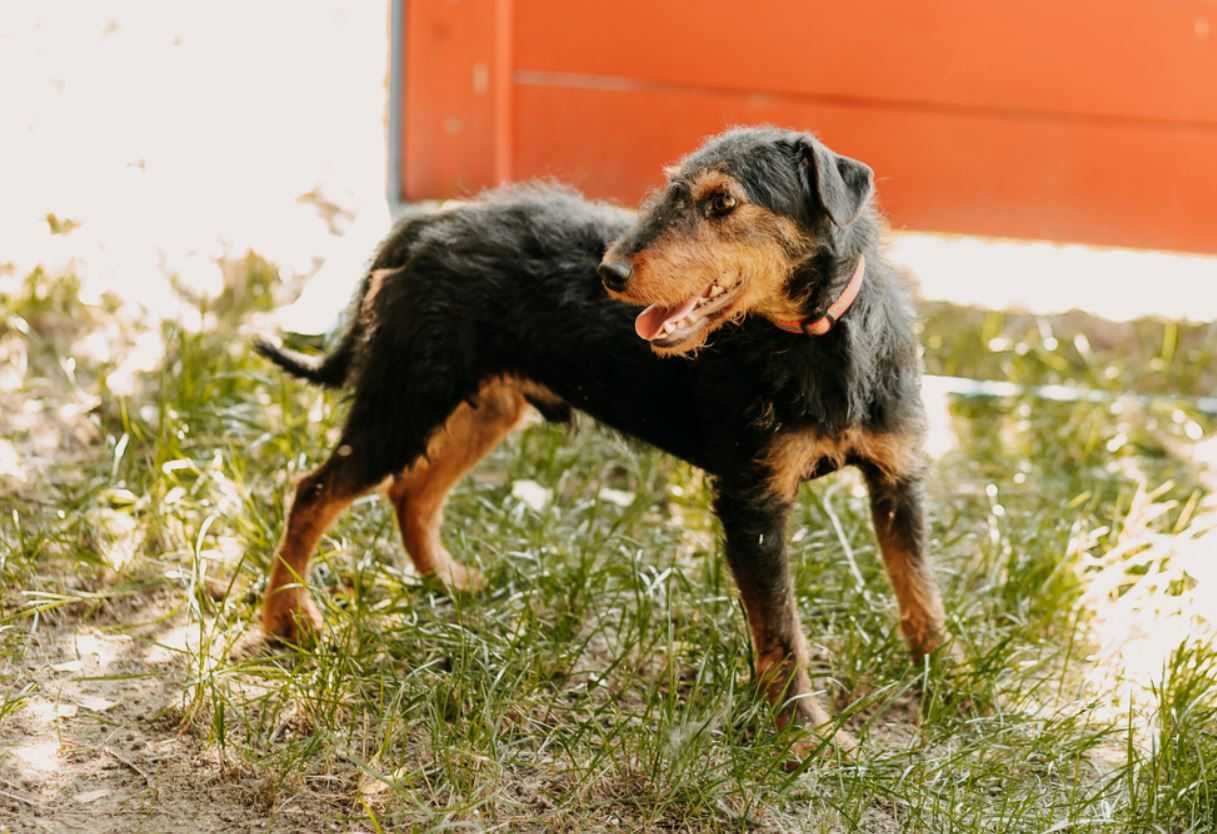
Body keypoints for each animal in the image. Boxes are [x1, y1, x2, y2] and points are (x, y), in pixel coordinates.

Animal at [249, 125, 949, 754]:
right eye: (672, 190)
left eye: (722, 203)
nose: (610, 272)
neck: (821, 340)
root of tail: (422, 226)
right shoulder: (752, 502)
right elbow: (781, 630)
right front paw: (806, 736)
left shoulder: (898, 477)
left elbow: (919, 589)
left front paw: (948, 677)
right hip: (404, 404)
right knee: (313, 492)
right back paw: (285, 620)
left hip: (482, 409)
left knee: (411, 493)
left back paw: (445, 580)